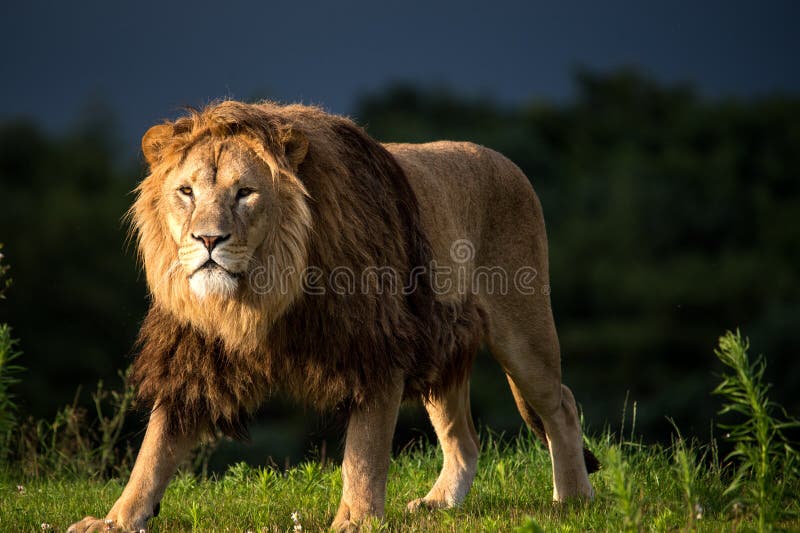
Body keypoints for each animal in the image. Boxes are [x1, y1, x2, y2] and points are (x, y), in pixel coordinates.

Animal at [68, 100, 598, 532]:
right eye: (186, 192)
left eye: (245, 193)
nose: (208, 239)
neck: (259, 293)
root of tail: (505, 161)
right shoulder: (194, 353)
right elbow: (155, 449)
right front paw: (116, 520)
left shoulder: (375, 343)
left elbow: (363, 451)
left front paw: (356, 521)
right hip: (441, 341)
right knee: (464, 438)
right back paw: (440, 503)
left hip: (522, 331)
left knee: (561, 404)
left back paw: (572, 501)